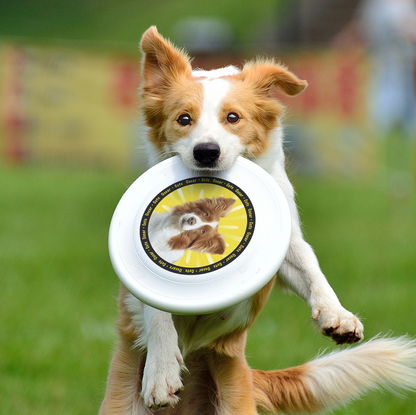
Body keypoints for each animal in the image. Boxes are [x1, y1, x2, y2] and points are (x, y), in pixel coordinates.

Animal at [98, 26, 416, 415]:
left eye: (233, 118)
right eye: (183, 119)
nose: (206, 152)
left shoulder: (285, 241)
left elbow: (310, 268)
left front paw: (336, 315)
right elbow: (155, 306)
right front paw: (161, 372)